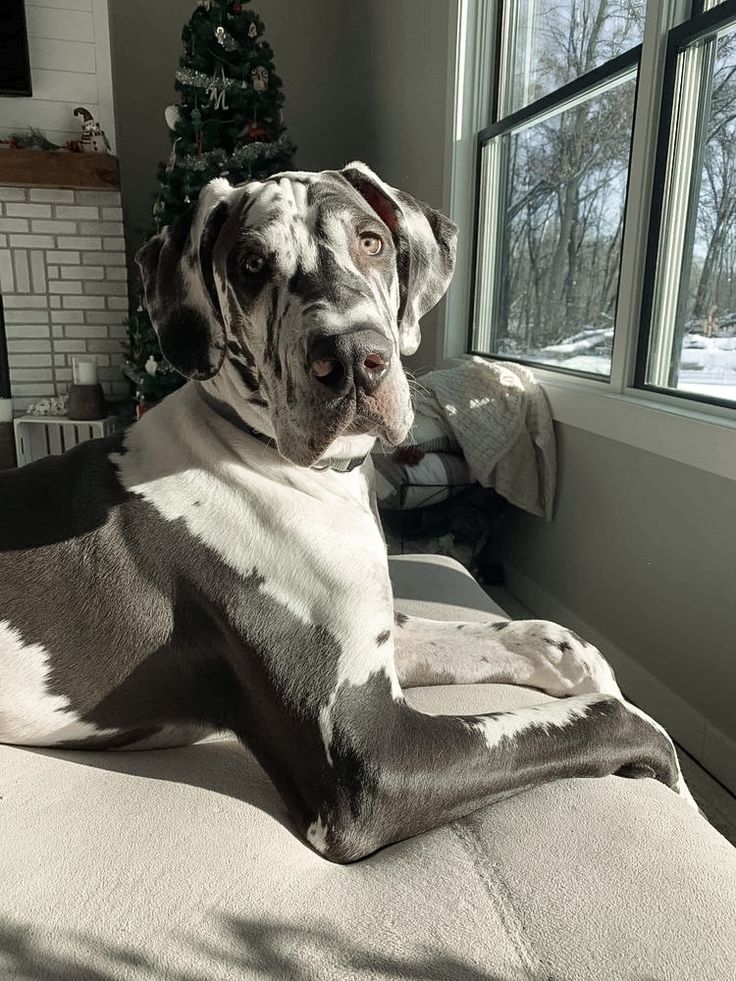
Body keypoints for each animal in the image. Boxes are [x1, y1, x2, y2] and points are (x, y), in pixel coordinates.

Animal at [0, 165, 696, 860]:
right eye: (251, 265)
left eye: (371, 241)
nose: (354, 358)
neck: (284, 466)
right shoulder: (371, 760)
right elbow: (615, 719)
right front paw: (675, 780)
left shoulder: (380, 638)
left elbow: (550, 639)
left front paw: (586, 669)